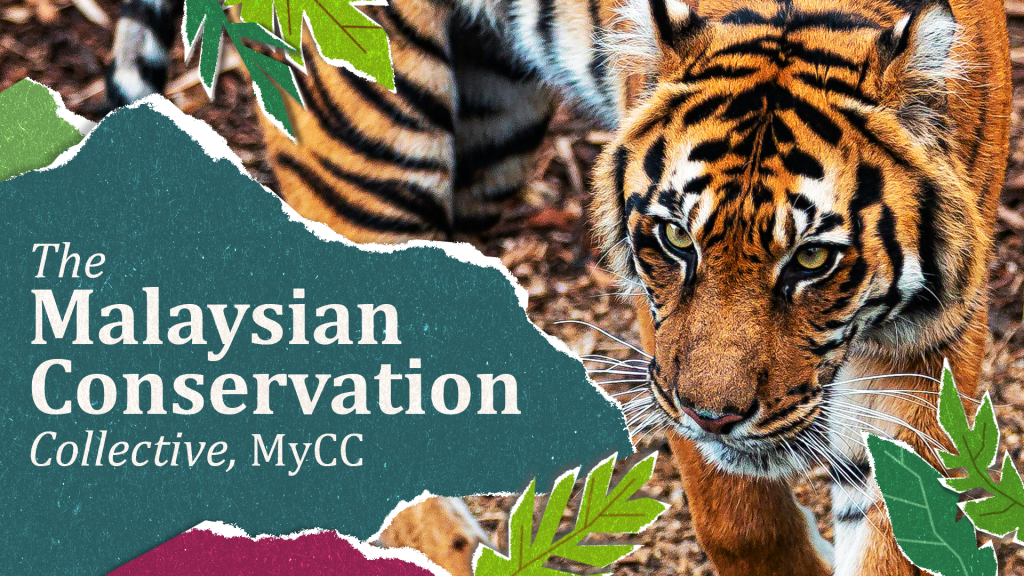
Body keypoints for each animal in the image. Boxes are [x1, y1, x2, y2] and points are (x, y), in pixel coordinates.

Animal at [104, 0, 1012, 574]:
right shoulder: (658, 332)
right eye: (676, 240)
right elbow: (739, 521)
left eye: (814, 261)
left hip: (491, 143)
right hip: (363, 136)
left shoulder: (924, 342)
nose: (714, 415)